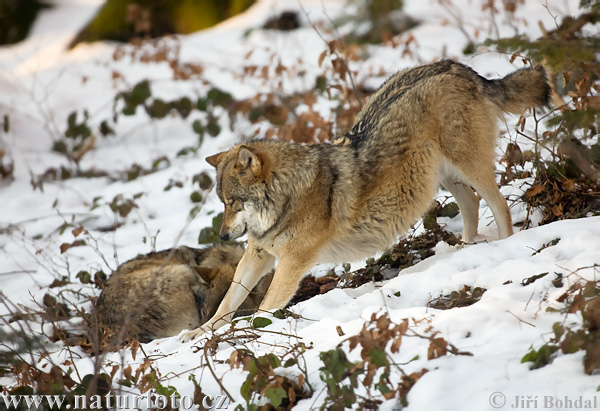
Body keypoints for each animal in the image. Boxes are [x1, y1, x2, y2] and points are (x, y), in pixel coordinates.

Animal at [180, 58, 552, 342]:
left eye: (233, 202)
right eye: (223, 202)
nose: (222, 235)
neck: (287, 198)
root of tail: (461, 68)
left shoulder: (291, 262)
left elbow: (263, 307)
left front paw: (252, 332)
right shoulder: (257, 253)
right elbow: (227, 303)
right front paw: (198, 333)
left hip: (467, 166)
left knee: (498, 205)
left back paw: (502, 247)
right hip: (443, 176)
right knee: (472, 204)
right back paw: (464, 249)